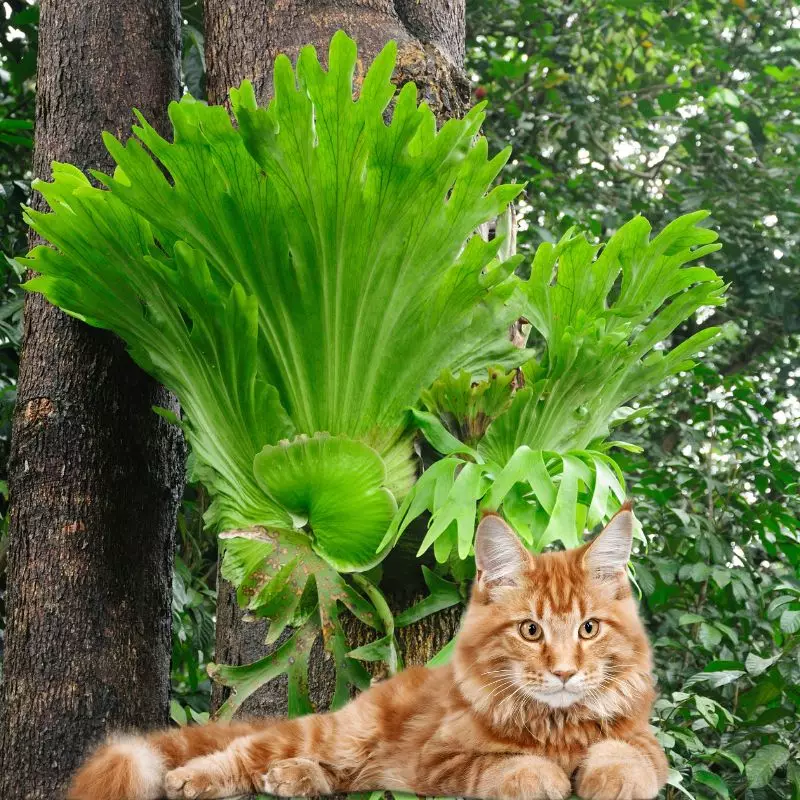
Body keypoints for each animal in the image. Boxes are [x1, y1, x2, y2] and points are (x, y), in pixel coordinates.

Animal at [70, 506, 668, 800]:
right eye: (530, 631)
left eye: (588, 629)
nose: (565, 673)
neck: (555, 727)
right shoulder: (440, 760)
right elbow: (507, 766)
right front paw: (543, 776)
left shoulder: (642, 741)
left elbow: (627, 758)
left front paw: (608, 779)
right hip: (335, 733)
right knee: (242, 752)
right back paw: (195, 779)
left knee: (337, 776)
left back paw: (293, 779)